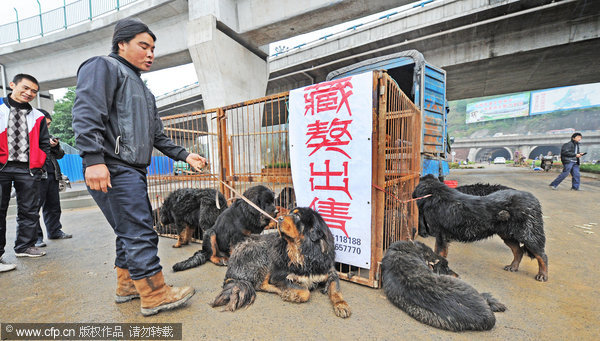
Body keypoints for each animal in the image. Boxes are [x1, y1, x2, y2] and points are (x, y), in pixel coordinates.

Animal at [211, 206, 352, 318]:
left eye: (297, 216)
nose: (279, 219)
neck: (304, 253)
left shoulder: (330, 272)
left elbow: (335, 290)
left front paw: (341, 305)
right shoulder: (278, 275)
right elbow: (304, 292)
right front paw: (292, 293)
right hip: (263, 254)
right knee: (260, 285)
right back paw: (282, 291)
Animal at [412, 174, 548, 280]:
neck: (434, 194)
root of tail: (534, 200)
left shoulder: (441, 236)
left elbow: (438, 254)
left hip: (529, 235)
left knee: (542, 255)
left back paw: (542, 274)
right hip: (507, 235)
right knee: (518, 251)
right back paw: (513, 267)